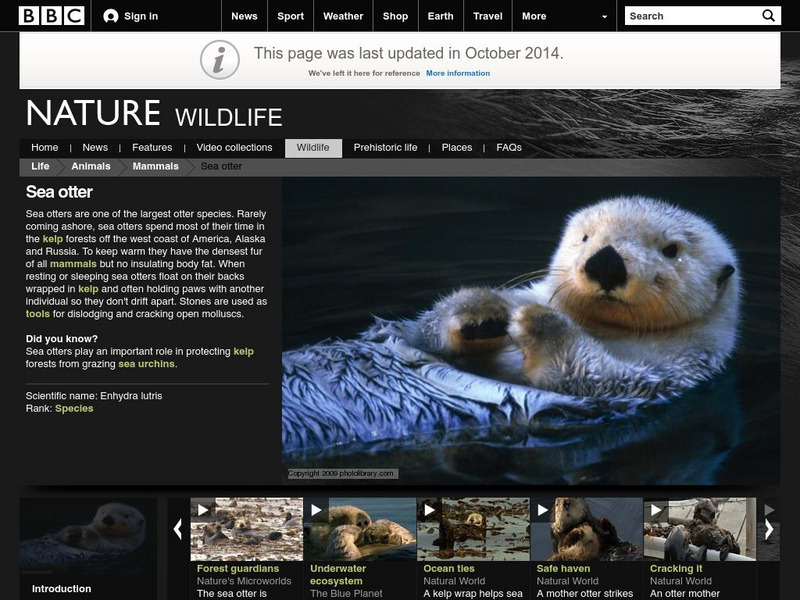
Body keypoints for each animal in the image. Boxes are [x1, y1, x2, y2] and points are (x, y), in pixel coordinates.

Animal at [414, 197, 739, 400]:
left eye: (671, 250)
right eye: (585, 237)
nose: (606, 263)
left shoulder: (672, 370)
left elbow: (597, 375)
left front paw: (539, 321)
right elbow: (427, 328)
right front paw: (483, 309)